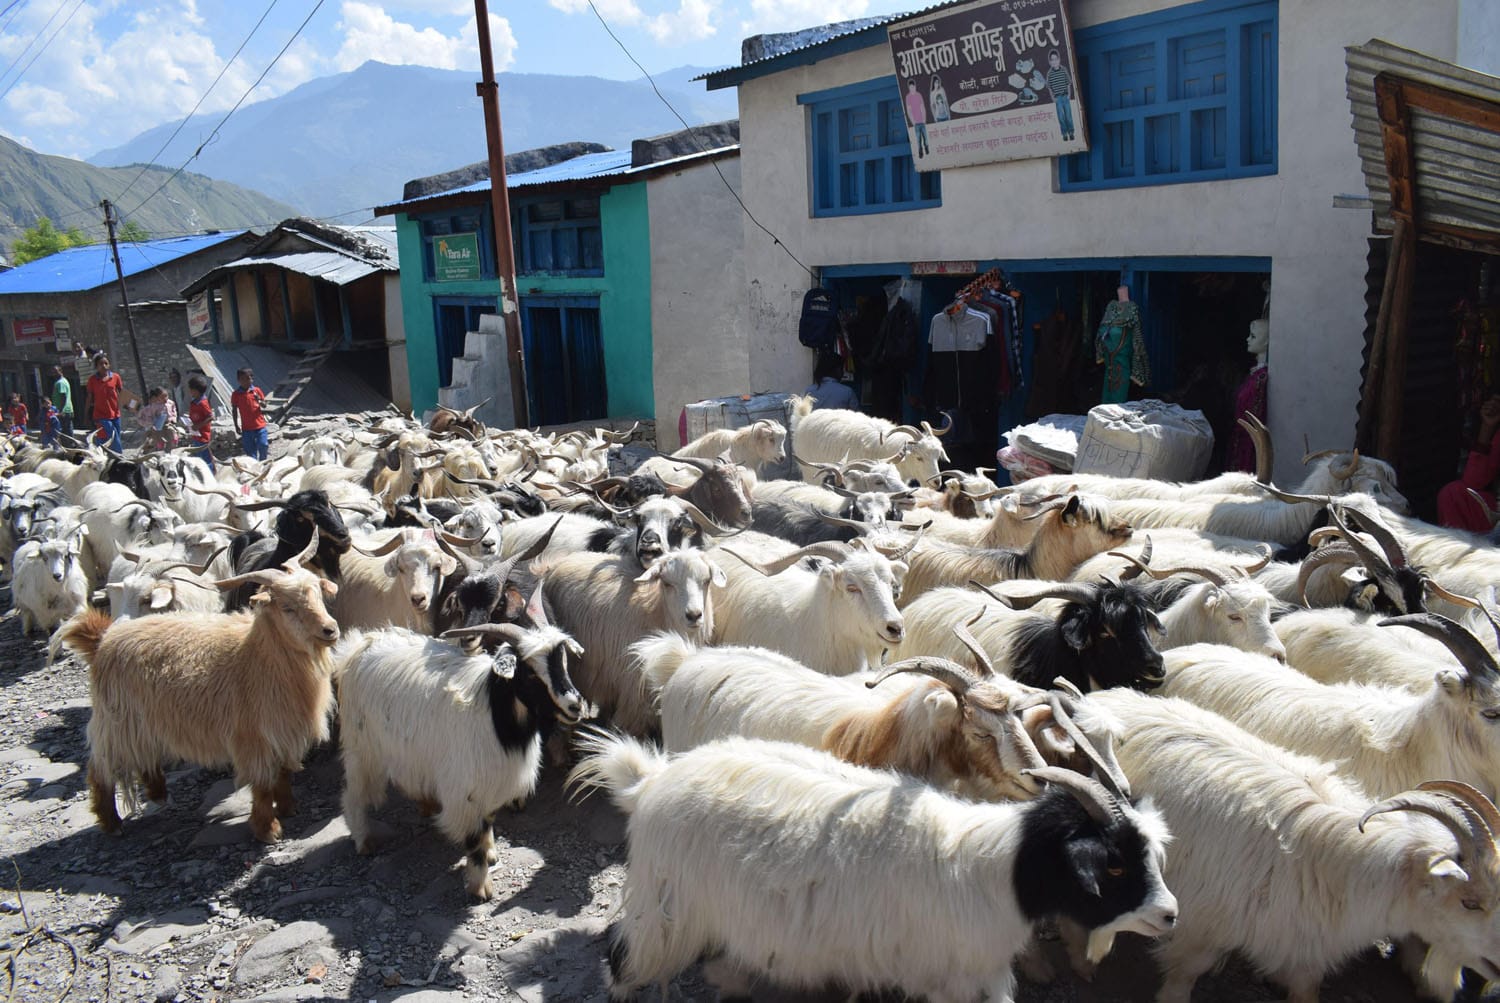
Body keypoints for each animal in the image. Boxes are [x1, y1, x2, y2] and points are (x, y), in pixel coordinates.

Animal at [1086, 683, 1500, 1001]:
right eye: (1469, 902)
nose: (1497, 966)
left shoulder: (1304, 947)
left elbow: (1306, 989)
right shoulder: (1201, 929)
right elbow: (1183, 977)